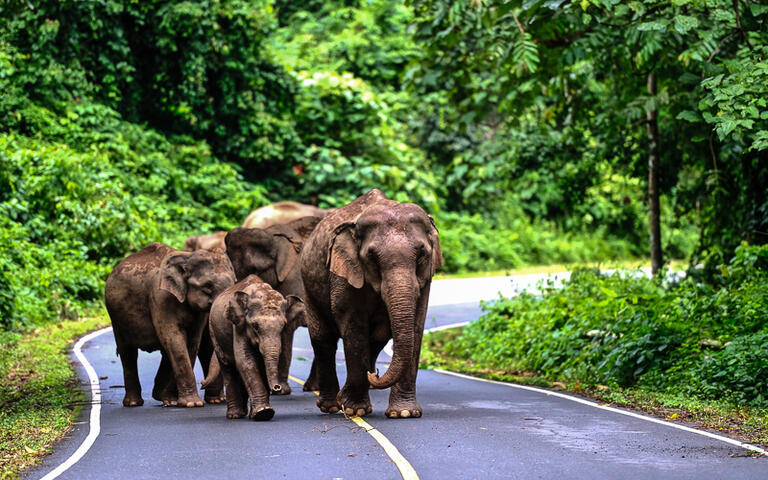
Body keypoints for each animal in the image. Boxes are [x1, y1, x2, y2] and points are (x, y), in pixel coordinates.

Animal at [105, 244, 236, 408]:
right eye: (207, 286)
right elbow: (174, 339)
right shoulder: (160, 298)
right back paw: (134, 403)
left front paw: (177, 401)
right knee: (127, 352)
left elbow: (191, 342)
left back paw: (166, 399)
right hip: (116, 319)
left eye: (235, 282)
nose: (202, 383)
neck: (187, 256)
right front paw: (191, 404)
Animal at [210, 274, 306, 420]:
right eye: (255, 326)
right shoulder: (239, 326)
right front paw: (263, 413)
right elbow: (246, 361)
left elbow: (261, 364)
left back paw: (245, 413)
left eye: (283, 326)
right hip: (213, 331)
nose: (277, 388)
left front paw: (262, 413)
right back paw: (235, 415)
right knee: (227, 366)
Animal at [302, 189, 444, 418]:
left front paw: (404, 413)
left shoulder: (426, 280)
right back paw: (331, 406)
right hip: (309, 288)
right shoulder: (344, 274)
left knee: (377, 340)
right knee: (323, 339)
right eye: (372, 257)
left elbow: (416, 326)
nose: (375, 374)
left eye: (422, 255)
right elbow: (354, 327)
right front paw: (355, 410)